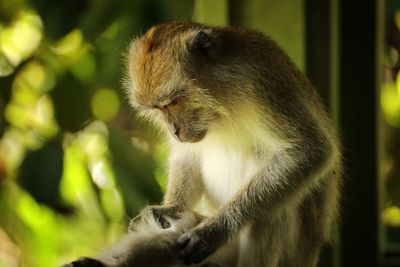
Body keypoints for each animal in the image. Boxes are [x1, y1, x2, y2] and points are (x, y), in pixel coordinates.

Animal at [121, 21, 340, 267]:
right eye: (158, 109)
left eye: (173, 102)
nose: (174, 130)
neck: (222, 99)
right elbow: (187, 156)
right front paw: (171, 208)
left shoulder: (263, 83)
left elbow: (310, 150)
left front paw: (215, 230)